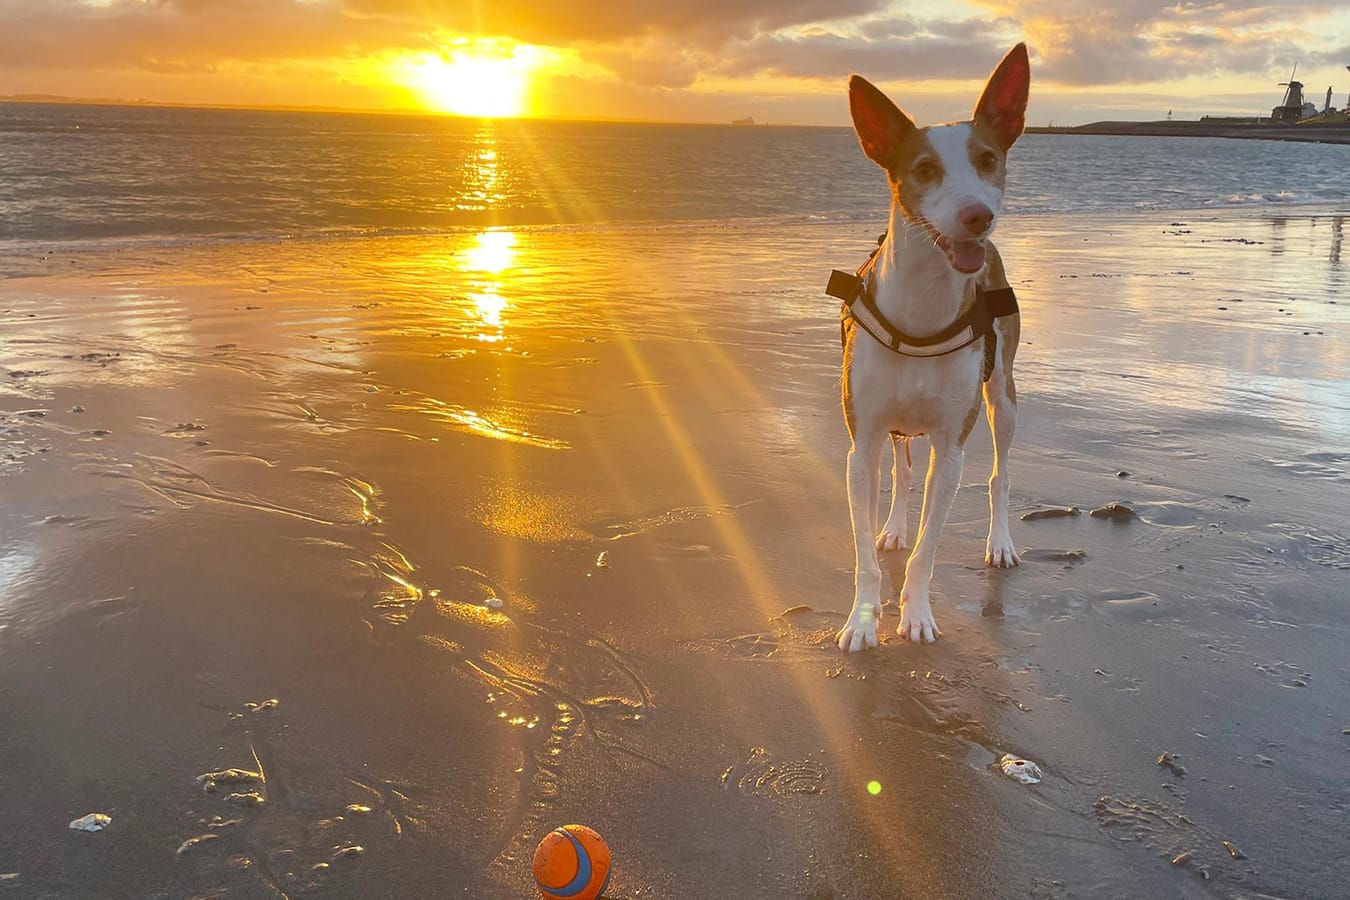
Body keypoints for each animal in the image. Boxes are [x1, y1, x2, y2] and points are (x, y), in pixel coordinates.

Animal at [826, 43, 1026, 655]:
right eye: (922, 170)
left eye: (988, 159)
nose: (978, 216)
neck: (922, 308)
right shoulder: (862, 443)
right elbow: (865, 546)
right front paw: (863, 620)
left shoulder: (951, 449)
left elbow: (927, 551)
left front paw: (914, 615)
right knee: (902, 471)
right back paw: (893, 525)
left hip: (1003, 395)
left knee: (1000, 475)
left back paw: (1001, 542)